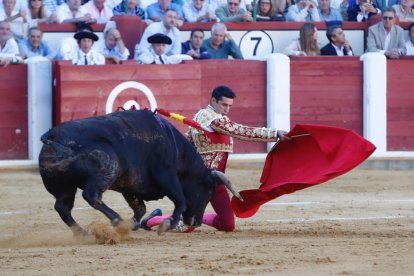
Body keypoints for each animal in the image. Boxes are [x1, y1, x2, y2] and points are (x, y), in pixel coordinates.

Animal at [39, 110, 243, 235]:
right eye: (208, 192)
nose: (196, 222)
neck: (177, 149)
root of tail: (53, 136)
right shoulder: (166, 175)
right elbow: (181, 200)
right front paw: (168, 224)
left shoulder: (130, 186)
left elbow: (140, 208)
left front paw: (132, 225)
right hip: (107, 168)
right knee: (91, 195)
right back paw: (116, 219)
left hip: (63, 186)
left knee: (63, 207)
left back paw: (82, 232)